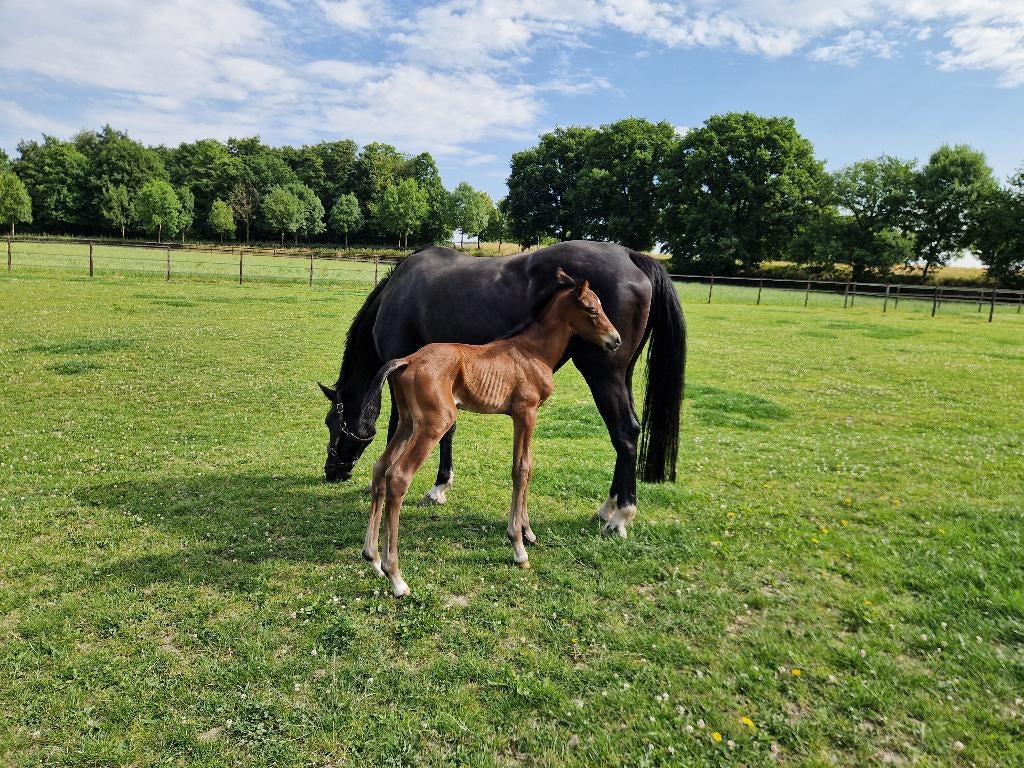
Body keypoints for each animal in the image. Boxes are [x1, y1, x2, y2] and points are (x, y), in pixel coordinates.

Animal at [320, 240, 686, 538]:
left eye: (332, 423)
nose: (332, 472)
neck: (397, 293)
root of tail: (631, 256)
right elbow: (448, 431)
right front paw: (440, 486)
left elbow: (398, 427)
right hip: (622, 375)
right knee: (630, 432)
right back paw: (609, 508)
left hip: (604, 375)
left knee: (624, 432)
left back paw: (620, 515)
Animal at [354, 269, 621, 596]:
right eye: (592, 308)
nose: (616, 340)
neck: (534, 350)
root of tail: (409, 359)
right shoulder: (525, 413)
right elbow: (521, 469)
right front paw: (518, 547)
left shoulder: (525, 416)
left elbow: (528, 468)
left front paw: (527, 532)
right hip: (433, 424)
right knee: (398, 476)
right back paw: (396, 577)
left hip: (407, 422)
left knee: (380, 467)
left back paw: (373, 558)